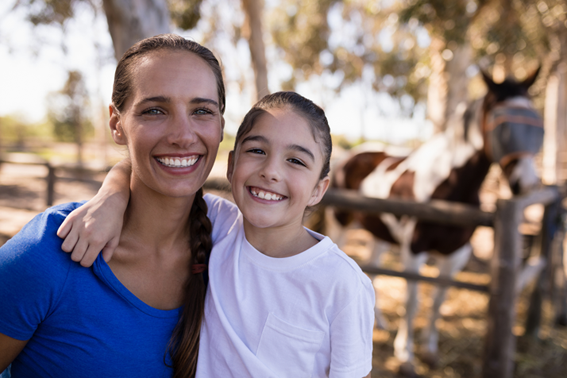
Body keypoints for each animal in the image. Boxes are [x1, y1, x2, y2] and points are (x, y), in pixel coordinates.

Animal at [328, 69, 544, 376]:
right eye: (499, 121)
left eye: (535, 120)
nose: (526, 184)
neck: (449, 188)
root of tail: (352, 156)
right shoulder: (414, 250)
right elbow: (413, 301)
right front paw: (405, 356)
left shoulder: (455, 255)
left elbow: (438, 302)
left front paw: (429, 352)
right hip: (341, 225)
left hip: (380, 235)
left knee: (372, 270)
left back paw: (377, 323)